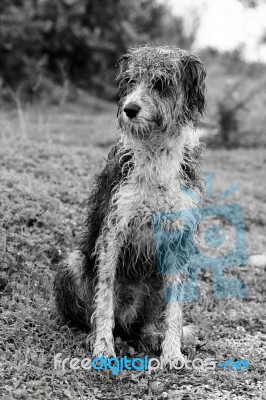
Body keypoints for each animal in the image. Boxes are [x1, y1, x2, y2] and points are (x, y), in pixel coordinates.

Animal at [53, 45, 206, 360]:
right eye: (130, 81)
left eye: (160, 83)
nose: (130, 109)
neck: (156, 152)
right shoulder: (113, 229)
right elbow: (104, 298)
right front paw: (103, 347)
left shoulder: (178, 237)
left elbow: (174, 309)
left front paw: (172, 353)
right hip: (73, 263)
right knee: (91, 315)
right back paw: (96, 337)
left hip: (157, 277)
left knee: (145, 323)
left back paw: (152, 336)